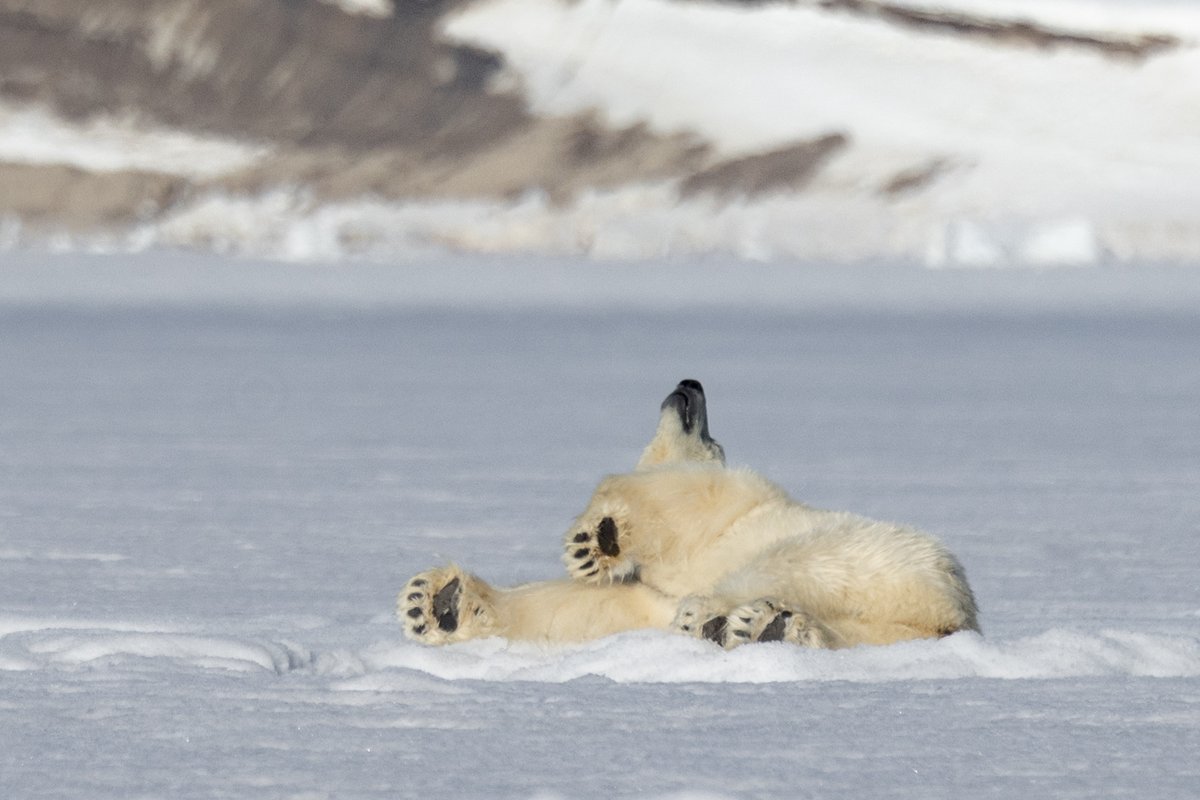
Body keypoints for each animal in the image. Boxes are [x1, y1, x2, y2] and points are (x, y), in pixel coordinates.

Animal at [398, 380, 979, 649]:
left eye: (711, 434)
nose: (690, 386)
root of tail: (955, 614)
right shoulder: (642, 598)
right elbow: (578, 613)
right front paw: (437, 602)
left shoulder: (733, 502)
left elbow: (660, 498)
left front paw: (596, 540)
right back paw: (761, 626)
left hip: (862, 554)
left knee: (783, 567)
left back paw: (719, 618)